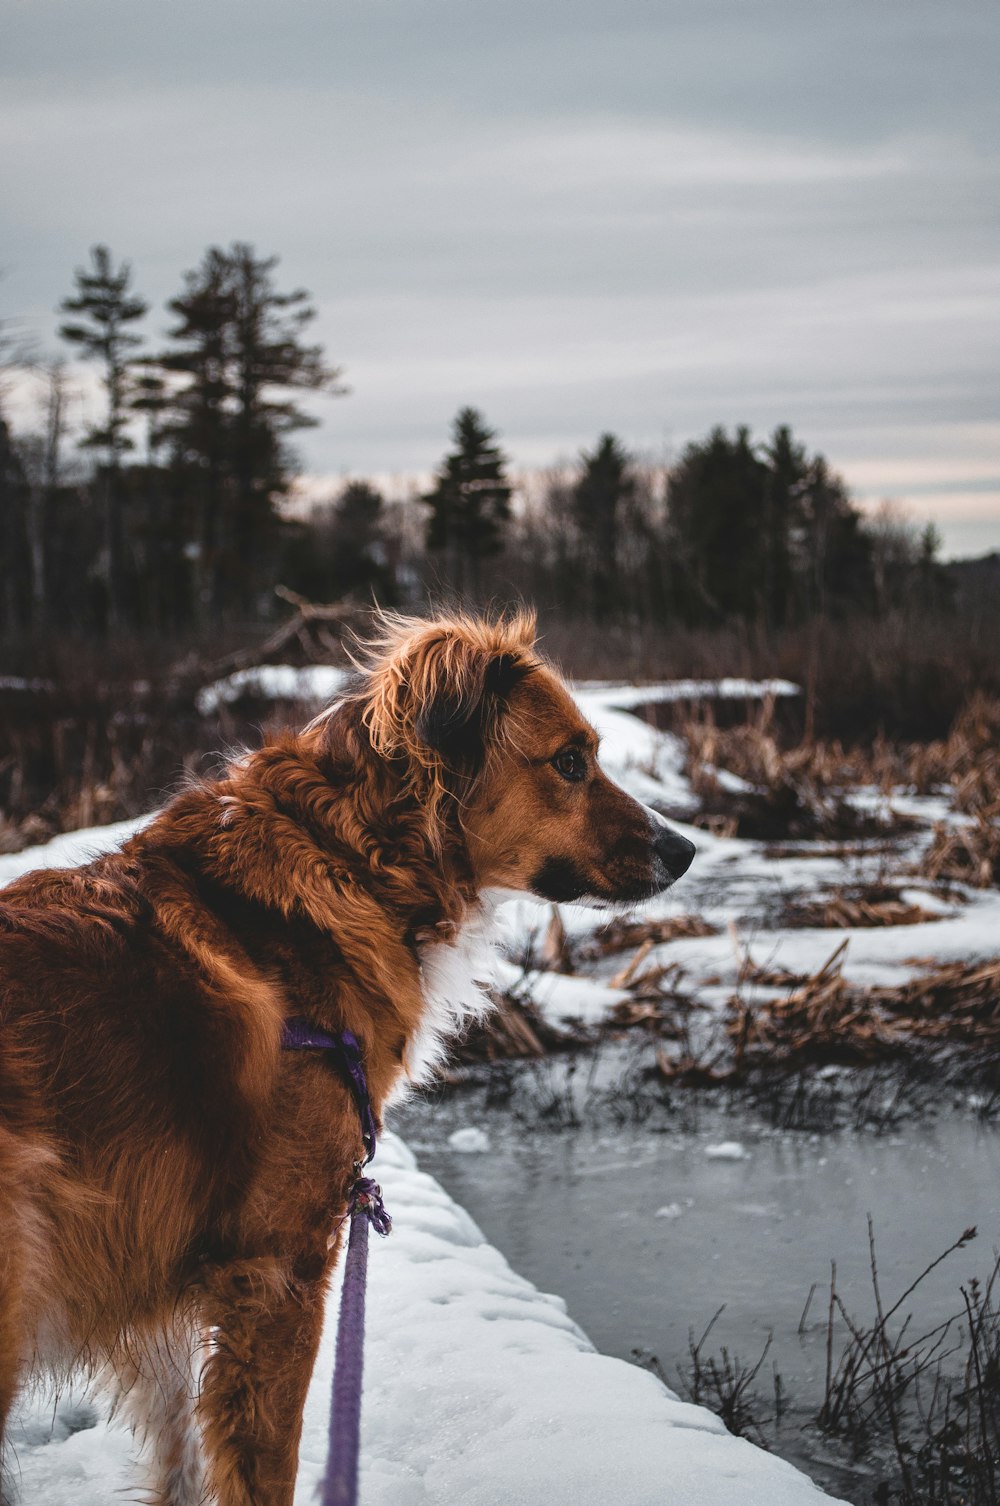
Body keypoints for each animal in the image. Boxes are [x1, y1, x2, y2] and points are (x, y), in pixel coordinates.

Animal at [0, 611, 695, 1506]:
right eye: (570, 762)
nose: (685, 851)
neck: (353, 866)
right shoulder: (281, 1267)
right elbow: (266, 1461)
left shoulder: (159, 1277)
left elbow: (180, 1452)